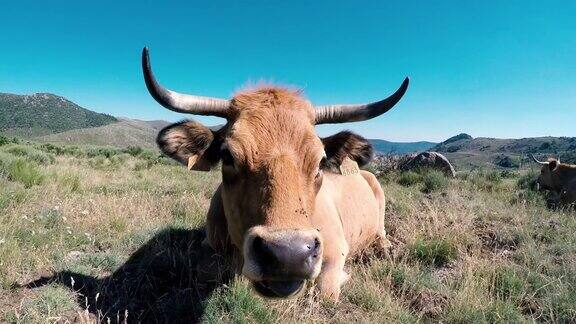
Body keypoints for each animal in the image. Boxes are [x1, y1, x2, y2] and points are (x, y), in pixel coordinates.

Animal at [141, 46, 410, 300]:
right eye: (228, 156)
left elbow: (325, 290)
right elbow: (206, 271)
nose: (289, 255)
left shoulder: (336, 250)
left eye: (320, 161)